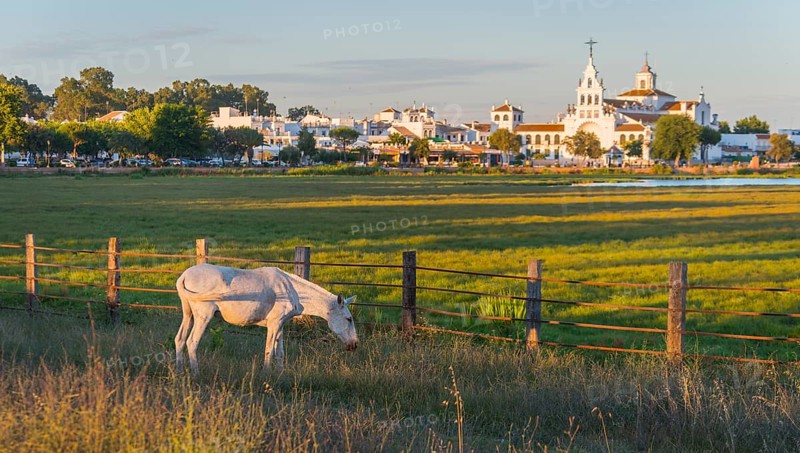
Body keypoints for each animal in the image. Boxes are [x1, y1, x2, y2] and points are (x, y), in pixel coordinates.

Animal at [174, 263, 357, 374]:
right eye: (348, 319)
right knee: (192, 342)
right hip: (203, 316)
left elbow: (280, 352)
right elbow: (269, 350)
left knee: (180, 339)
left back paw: (179, 372)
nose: (355, 345)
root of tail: (183, 276)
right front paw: (266, 375)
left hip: (188, 315)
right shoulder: (274, 323)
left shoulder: (281, 324)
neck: (293, 290)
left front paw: (281, 375)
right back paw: (196, 374)